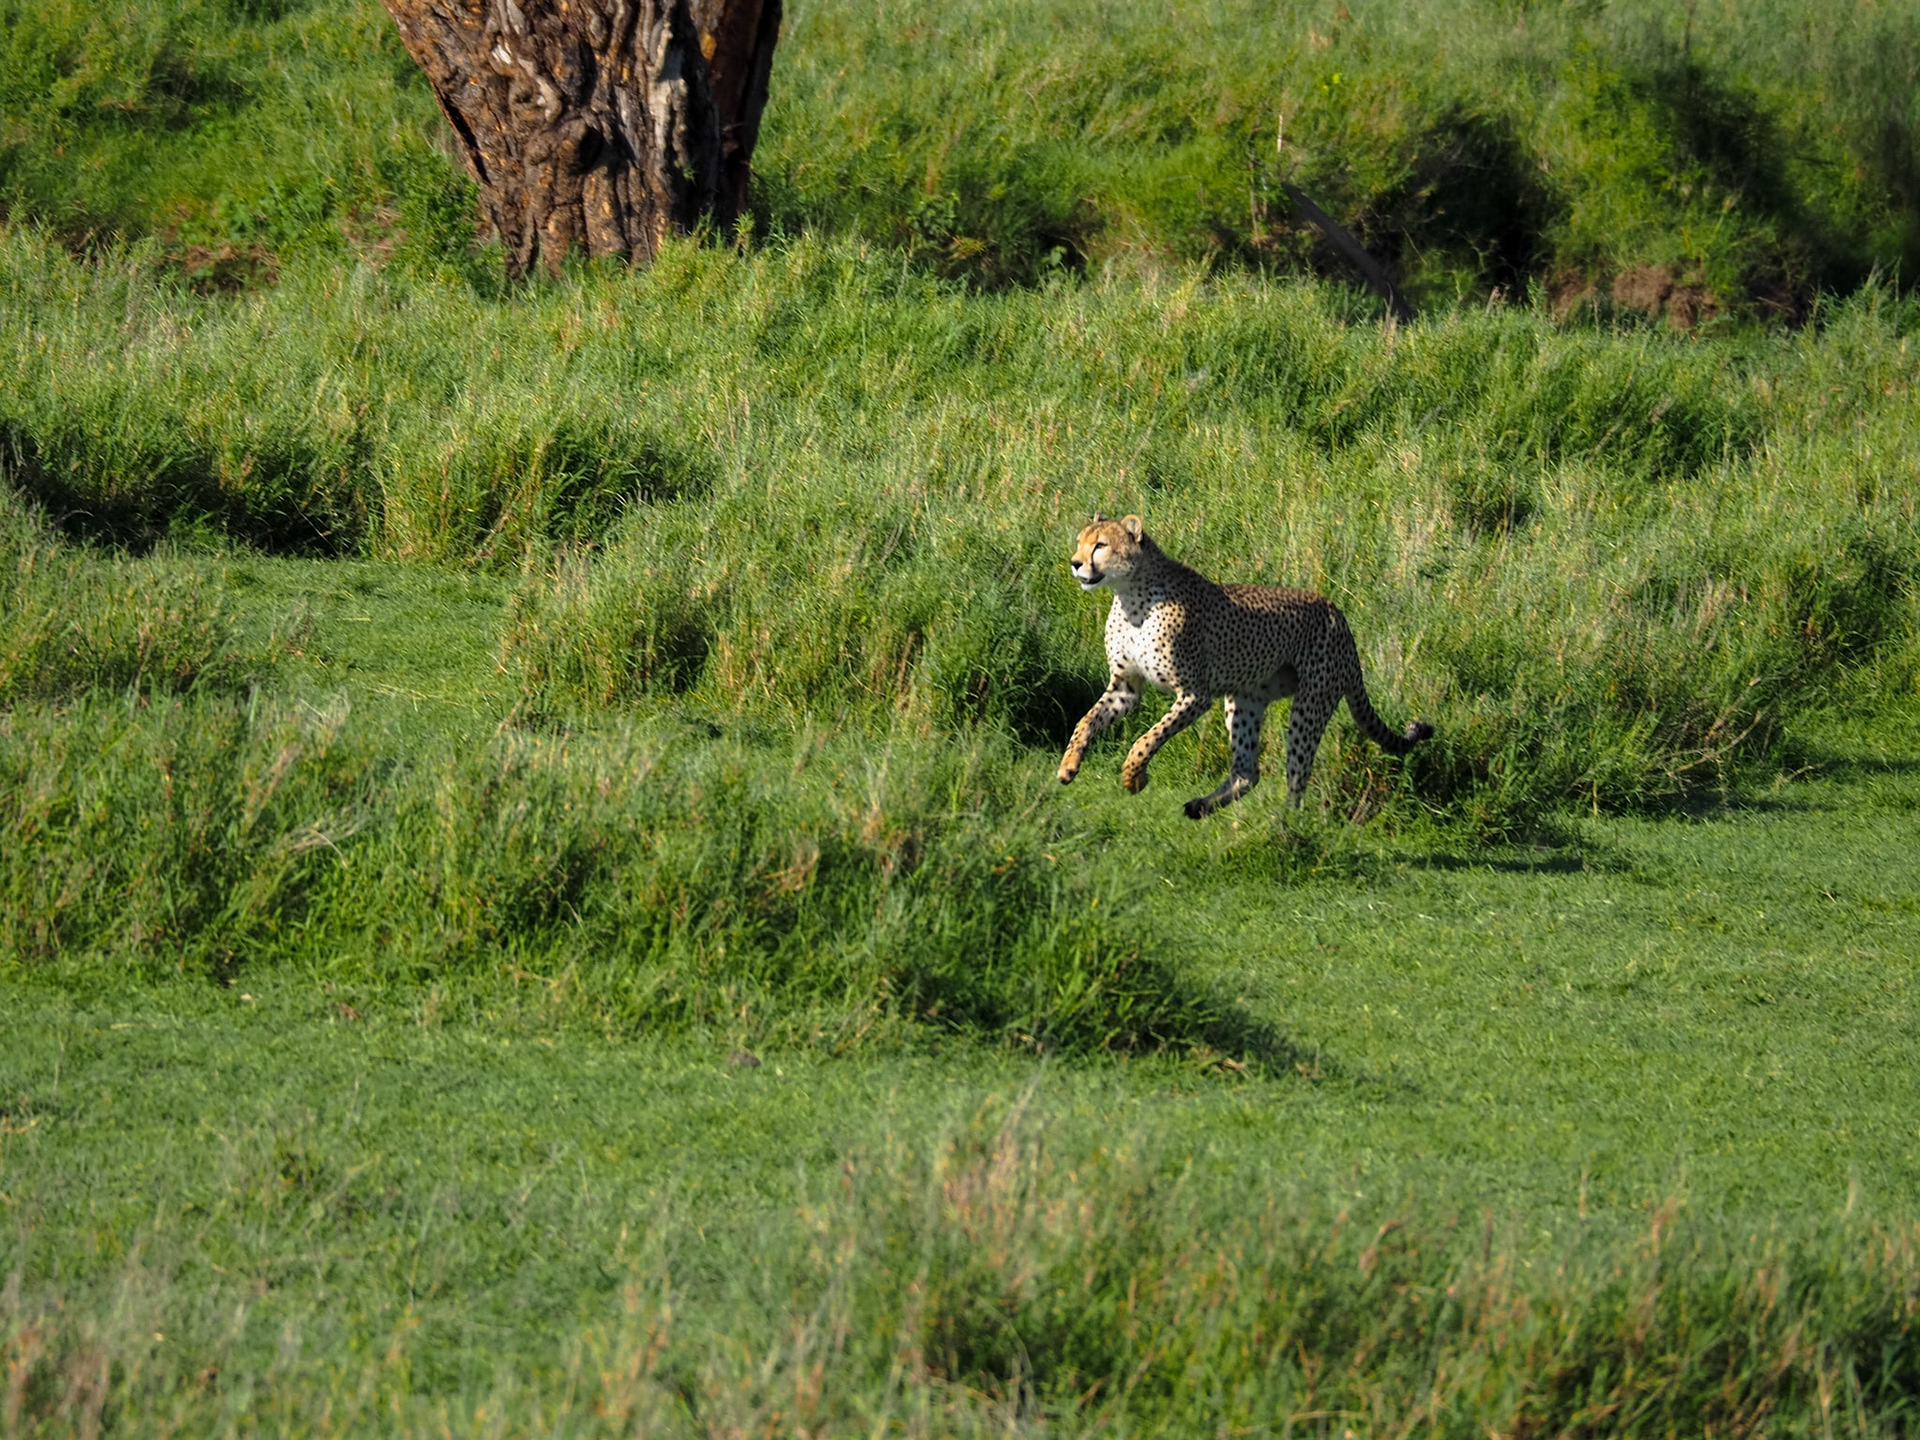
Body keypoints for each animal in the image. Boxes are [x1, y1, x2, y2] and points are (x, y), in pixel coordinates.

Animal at [1056, 513, 1433, 818]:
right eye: (1080, 542)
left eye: (1101, 545)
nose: (1074, 563)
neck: (1131, 595)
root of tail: (1337, 613)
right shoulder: (1125, 686)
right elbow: (1085, 722)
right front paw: (1068, 766)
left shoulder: (1194, 694)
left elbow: (1148, 738)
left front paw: (1134, 776)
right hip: (1245, 699)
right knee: (1247, 771)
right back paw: (1201, 807)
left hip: (1310, 704)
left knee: (1297, 775)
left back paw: (1284, 827)